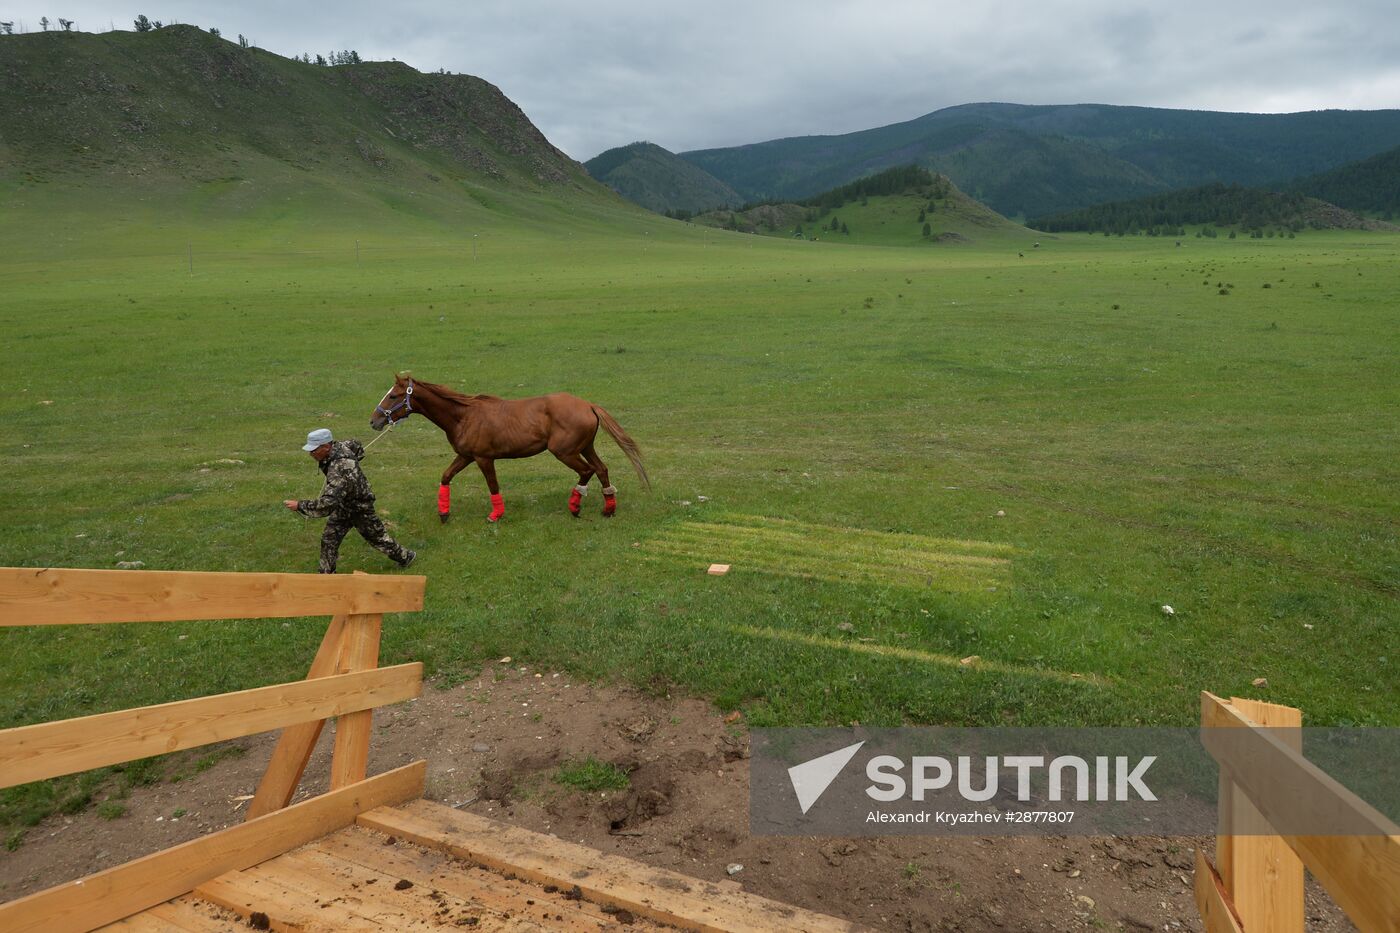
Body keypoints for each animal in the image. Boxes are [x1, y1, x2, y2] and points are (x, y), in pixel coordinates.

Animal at [369, 378, 646, 523]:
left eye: (393, 396)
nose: (374, 421)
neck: (463, 416)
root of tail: (588, 405)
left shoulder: (483, 458)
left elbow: (493, 485)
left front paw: (496, 514)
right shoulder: (465, 456)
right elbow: (446, 477)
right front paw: (444, 513)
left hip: (565, 452)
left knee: (587, 471)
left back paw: (575, 506)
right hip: (586, 447)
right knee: (601, 469)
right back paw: (608, 509)